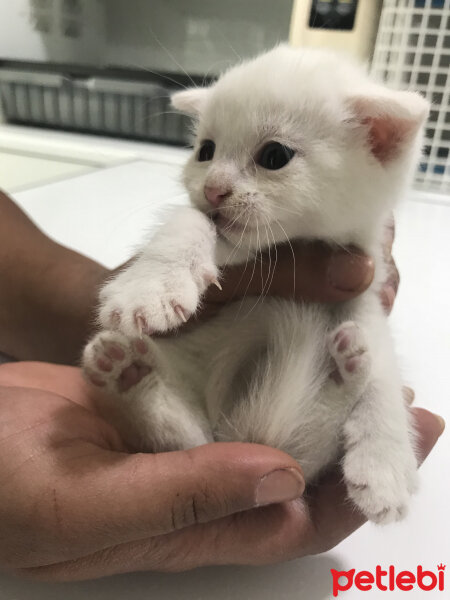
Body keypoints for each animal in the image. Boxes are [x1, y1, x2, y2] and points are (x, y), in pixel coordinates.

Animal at [82, 47, 430, 524]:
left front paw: (385, 463)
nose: (212, 190)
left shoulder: (361, 291)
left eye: (274, 155)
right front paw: (152, 285)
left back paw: (344, 373)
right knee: (189, 440)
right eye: (205, 150)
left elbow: (383, 373)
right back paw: (131, 377)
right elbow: (189, 220)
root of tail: (244, 434)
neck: (295, 245)